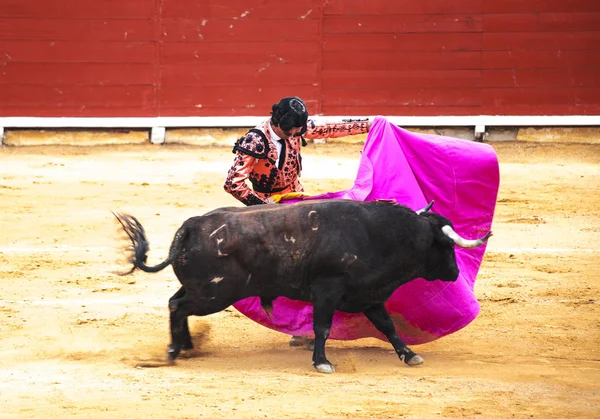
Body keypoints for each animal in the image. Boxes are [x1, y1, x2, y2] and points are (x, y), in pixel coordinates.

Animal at [115, 200, 490, 374]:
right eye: (447, 245)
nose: (455, 272)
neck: (381, 235)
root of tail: (191, 226)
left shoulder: (369, 295)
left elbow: (388, 327)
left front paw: (410, 355)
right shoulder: (327, 292)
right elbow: (322, 327)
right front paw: (322, 362)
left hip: (202, 289)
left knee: (175, 303)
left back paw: (187, 345)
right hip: (214, 294)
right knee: (177, 306)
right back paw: (173, 351)